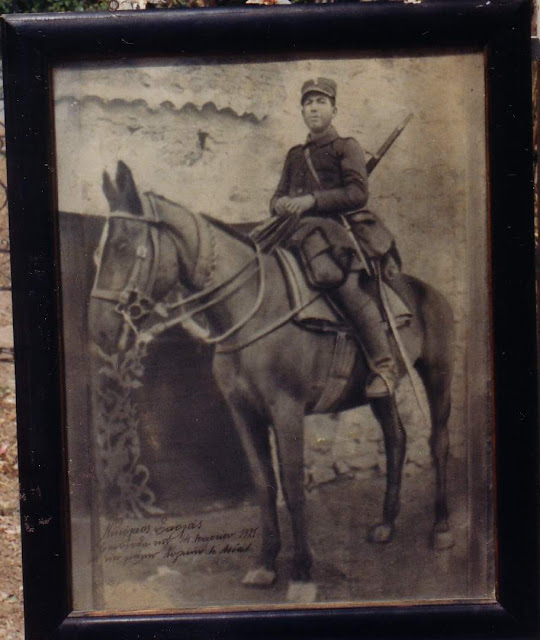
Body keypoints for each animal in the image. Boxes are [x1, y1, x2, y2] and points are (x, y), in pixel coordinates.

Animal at [89, 160, 455, 600]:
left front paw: (302, 574)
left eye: (124, 247)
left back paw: (441, 528)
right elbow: (264, 485)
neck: (251, 307)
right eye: (100, 250)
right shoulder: (245, 414)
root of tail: (425, 289)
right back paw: (385, 524)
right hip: (381, 390)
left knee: (438, 443)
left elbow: (294, 488)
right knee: (396, 439)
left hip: (439, 374)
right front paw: (264, 564)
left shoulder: (287, 411)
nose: (100, 330)